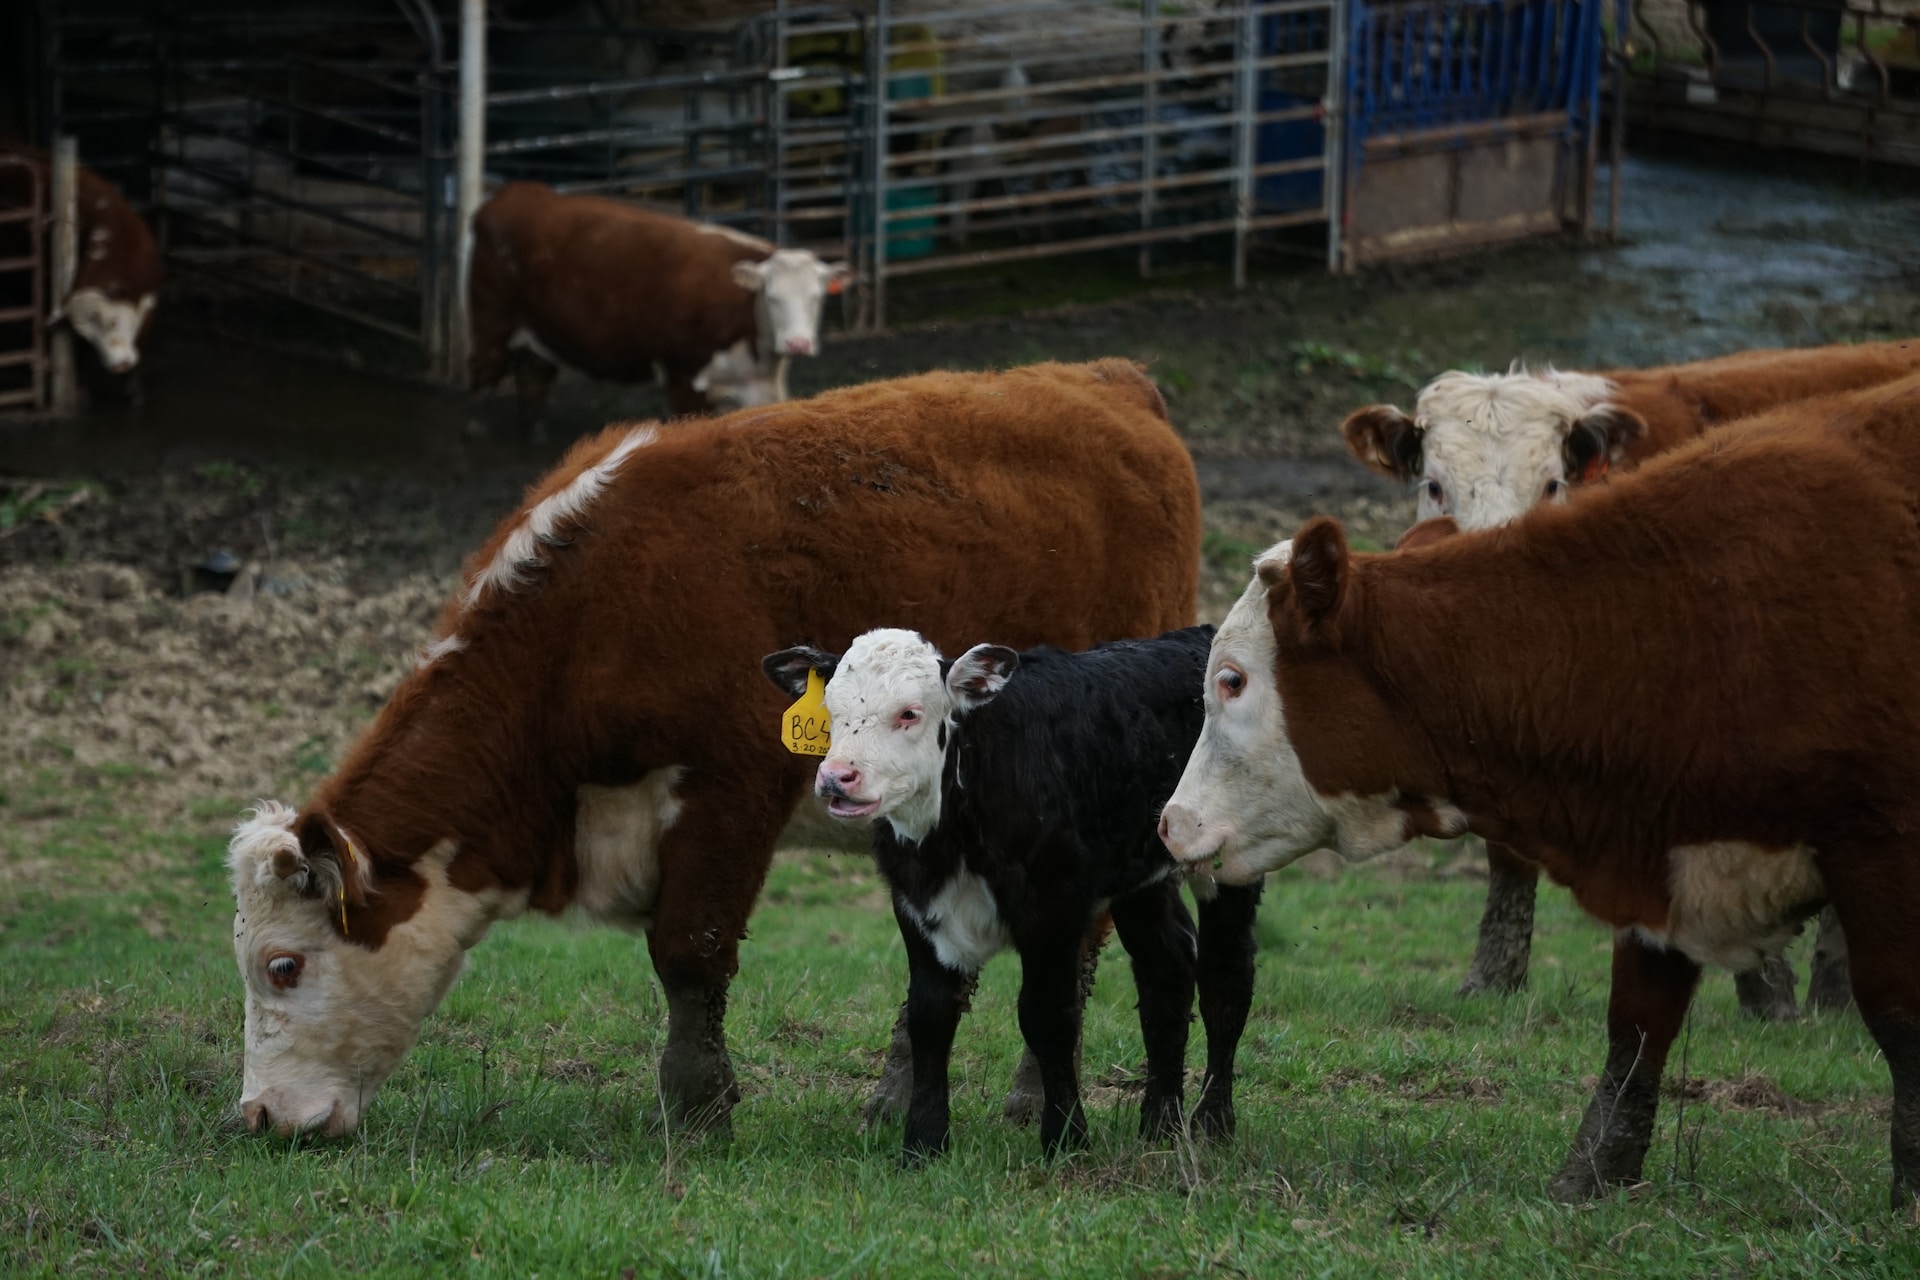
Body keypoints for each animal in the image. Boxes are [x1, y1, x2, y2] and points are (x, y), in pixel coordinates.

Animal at [224, 358, 1198, 1143]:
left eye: (284, 965)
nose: (261, 1116)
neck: (585, 624)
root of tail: (1108, 380)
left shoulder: (729, 791)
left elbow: (689, 954)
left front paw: (696, 1110)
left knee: (1076, 948)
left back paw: (1031, 1098)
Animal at [756, 625, 1267, 1166]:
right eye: (832, 711)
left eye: (909, 713)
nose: (837, 778)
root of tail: (1198, 635)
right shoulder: (916, 907)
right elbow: (929, 1014)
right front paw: (923, 1144)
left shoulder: (1053, 909)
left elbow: (1048, 1016)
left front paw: (1066, 1140)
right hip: (1141, 880)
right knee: (1166, 969)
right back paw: (1159, 1123)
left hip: (1230, 863)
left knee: (1226, 976)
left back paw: (1212, 1122)